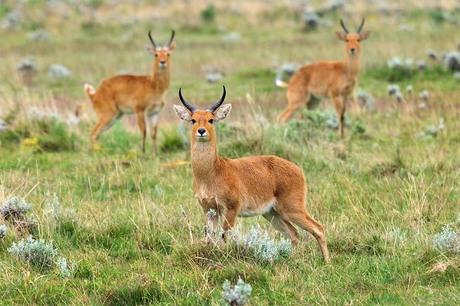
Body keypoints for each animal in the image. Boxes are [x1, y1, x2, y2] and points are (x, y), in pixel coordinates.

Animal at [174, 86, 328, 262]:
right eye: (193, 120)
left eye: (211, 119)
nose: (201, 131)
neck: (211, 173)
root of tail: (298, 169)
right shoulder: (209, 210)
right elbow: (210, 239)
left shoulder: (231, 209)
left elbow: (225, 236)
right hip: (272, 213)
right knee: (294, 234)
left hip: (292, 209)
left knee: (318, 228)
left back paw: (326, 262)